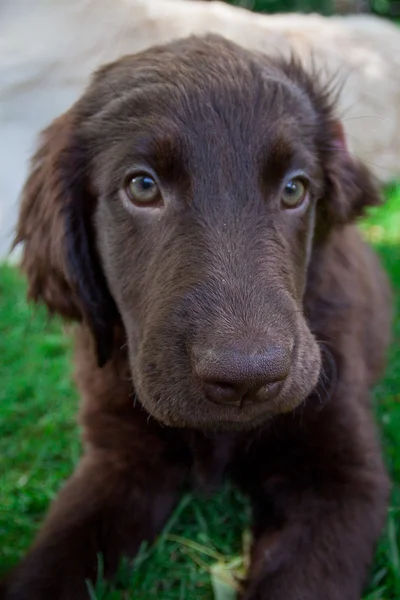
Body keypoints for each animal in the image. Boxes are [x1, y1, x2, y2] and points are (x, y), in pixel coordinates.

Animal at [2, 34, 390, 600]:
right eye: (142, 186)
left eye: (294, 189)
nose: (248, 377)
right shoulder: (118, 458)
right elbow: (53, 557)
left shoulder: (341, 476)